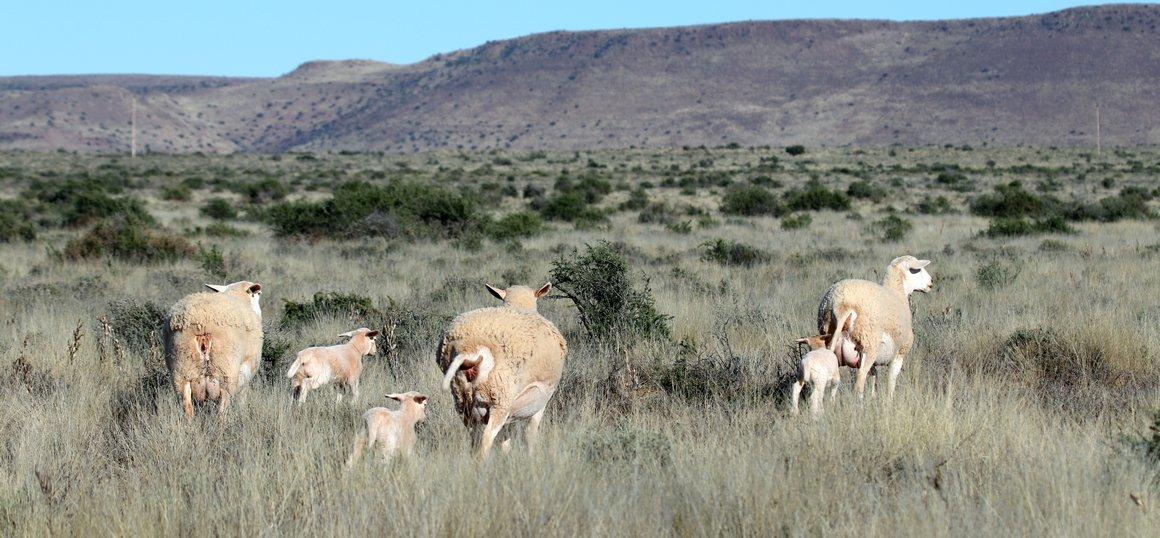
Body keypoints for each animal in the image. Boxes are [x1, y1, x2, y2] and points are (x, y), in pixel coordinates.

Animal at [163, 281, 264, 418]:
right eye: (258, 294)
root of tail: (202, 323)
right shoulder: (247, 369)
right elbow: (242, 399)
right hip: (226, 373)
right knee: (222, 410)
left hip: (182, 371)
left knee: (187, 407)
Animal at [436, 283, 567, 458]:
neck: (518, 305)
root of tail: (469, 350)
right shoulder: (541, 400)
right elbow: (530, 435)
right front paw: (531, 456)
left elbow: (506, 439)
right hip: (499, 399)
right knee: (486, 438)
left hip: (463, 400)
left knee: (474, 438)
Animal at [816, 255, 933, 400]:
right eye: (918, 270)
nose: (931, 282)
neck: (898, 292)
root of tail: (840, 305)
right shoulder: (899, 353)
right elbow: (891, 381)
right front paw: (889, 400)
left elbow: (874, 377)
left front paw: (873, 396)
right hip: (869, 344)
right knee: (859, 381)